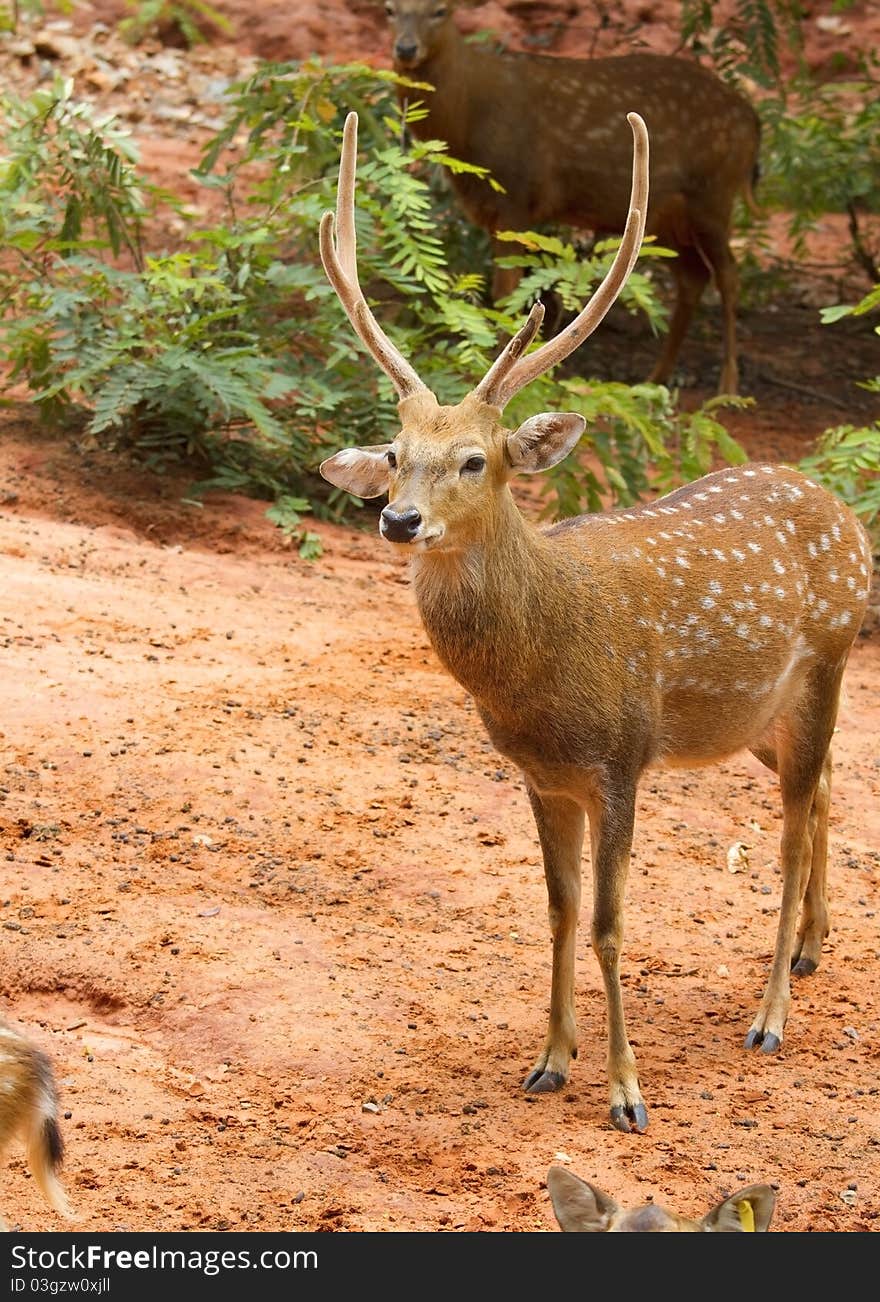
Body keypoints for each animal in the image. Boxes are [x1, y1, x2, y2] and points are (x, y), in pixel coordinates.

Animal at [317, 111, 874, 1130]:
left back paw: (771, 1015)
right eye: (395, 451)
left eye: (476, 459)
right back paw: (816, 949)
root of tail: (846, 512)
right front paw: (549, 1061)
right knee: (826, 786)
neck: (542, 671)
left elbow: (613, 922)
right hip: (756, 717)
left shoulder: (621, 757)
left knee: (787, 829)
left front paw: (625, 1091)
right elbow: (558, 911)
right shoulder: (541, 775)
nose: (398, 519)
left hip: (829, 654)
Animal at [385, 1, 765, 395]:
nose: (406, 49)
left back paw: (728, 386)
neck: (467, 119)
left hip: (714, 193)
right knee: (693, 276)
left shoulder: (516, 195)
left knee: (729, 275)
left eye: (440, 11)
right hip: (667, 217)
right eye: (390, 10)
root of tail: (754, 122)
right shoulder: (493, 210)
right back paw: (655, 378)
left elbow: (507, 289)